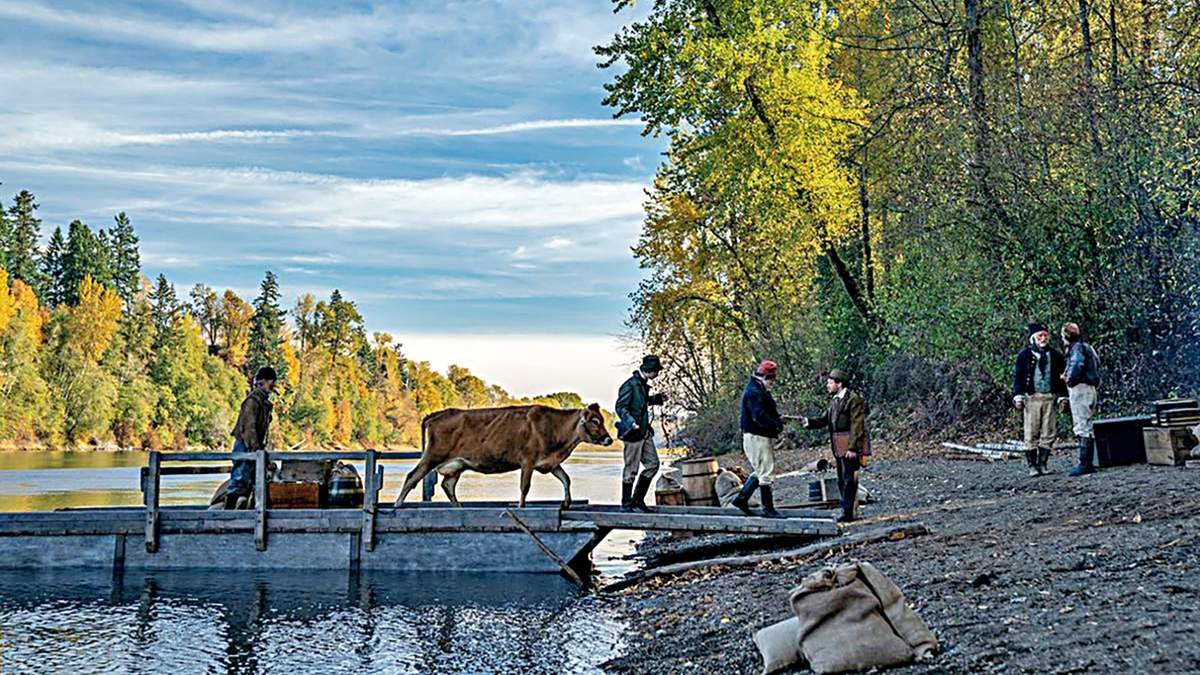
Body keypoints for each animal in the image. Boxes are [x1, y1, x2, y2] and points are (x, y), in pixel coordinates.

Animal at [393, 403, 613, 508]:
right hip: (433, 455)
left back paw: (459, 507)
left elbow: (566, 479)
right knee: (412, 476)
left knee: (448, 485)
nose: (609, 439)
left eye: (601, 419)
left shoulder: (549, 462)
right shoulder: (527, 460)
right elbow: (525, 487)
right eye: (594, 421)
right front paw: (521, 507)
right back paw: (397, 505)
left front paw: (566, 503)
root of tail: (437, 414)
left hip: (456, 465)